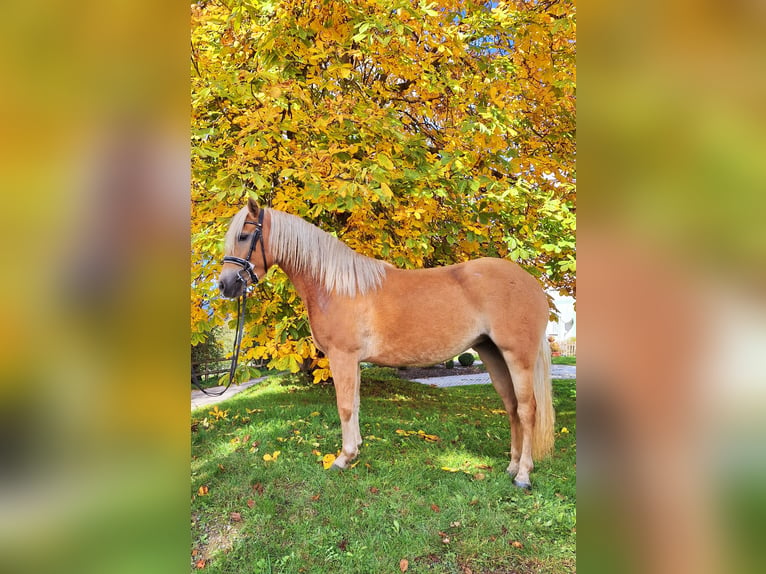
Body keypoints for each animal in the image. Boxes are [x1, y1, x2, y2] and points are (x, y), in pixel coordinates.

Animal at [219, 199, 556, 490]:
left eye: (244, 235)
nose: (225, 285)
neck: (336, 286)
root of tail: (531, 284)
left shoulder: (342, 357)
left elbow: (344, 406)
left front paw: (342, 459)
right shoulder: (353, 361)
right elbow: (354, 404)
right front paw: (354, 451)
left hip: (518, 357)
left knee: (527, 409)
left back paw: (523, 475)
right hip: (492, 353)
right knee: (511, 407)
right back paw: (512, 466)